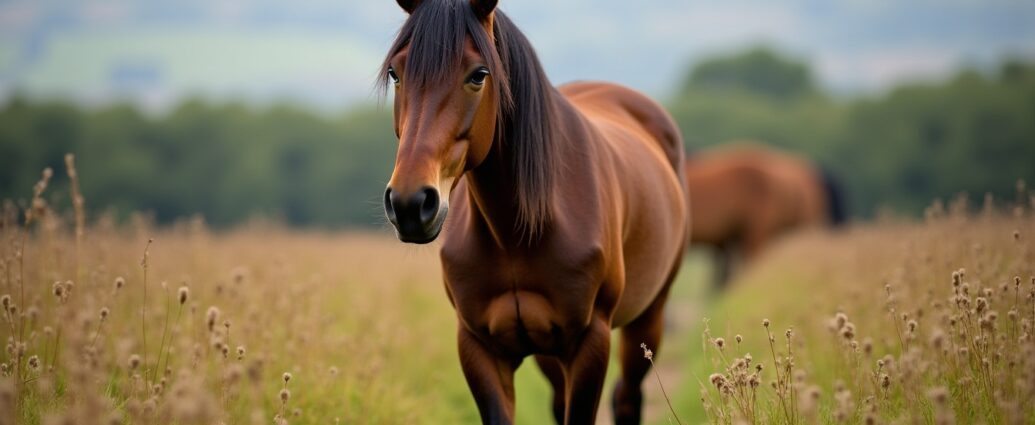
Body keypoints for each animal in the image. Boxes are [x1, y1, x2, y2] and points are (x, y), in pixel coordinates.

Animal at [379, 0, 689, 423]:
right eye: (396, 72)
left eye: (479, 75)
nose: (410, 204)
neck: (516, 234)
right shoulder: (479, 347)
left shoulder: (590, 342)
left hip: (648, 318)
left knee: (627, 396)